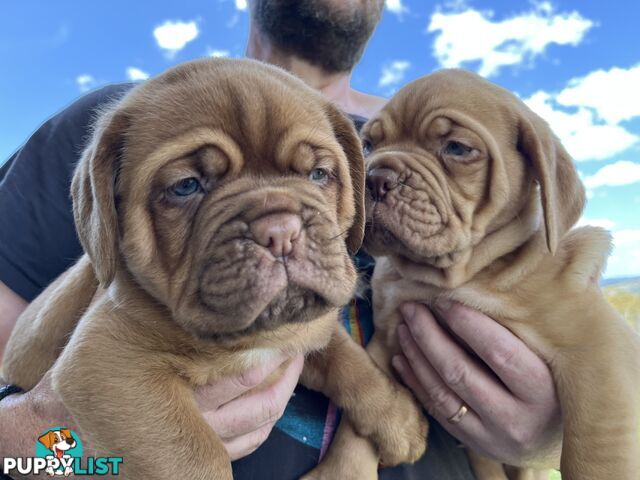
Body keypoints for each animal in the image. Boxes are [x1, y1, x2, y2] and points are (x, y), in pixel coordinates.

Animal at [3, 58, 430, 478]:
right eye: (186, 186)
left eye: (318, 174)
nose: (281, 232)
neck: (251, 339)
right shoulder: (105, 365)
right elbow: (195, 457)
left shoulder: (303, 331)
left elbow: (349, 360)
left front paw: (398, 418)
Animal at [308, 69, 640, 480]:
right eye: (368, 145)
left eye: (457, 149)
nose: (373, 177)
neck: (457, 276)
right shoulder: (387, 337)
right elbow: (365, 408)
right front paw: (344, 469)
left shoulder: (598, 350)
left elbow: (597, 446)